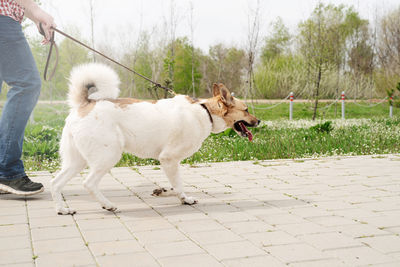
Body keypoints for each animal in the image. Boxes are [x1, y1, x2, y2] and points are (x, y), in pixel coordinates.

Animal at [50, 63, 260, 216]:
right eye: (246, 109)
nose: (259, 121)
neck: (205, 111)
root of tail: (84, 105)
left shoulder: (170, 163)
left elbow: (174, 184)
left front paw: (170, 194)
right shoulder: (168, 159)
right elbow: (178, 185)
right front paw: (180, 197)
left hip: (76, 162)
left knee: (56, 183)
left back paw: (62, 210)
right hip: (108, 156)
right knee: (89, 184)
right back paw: (108, 205)